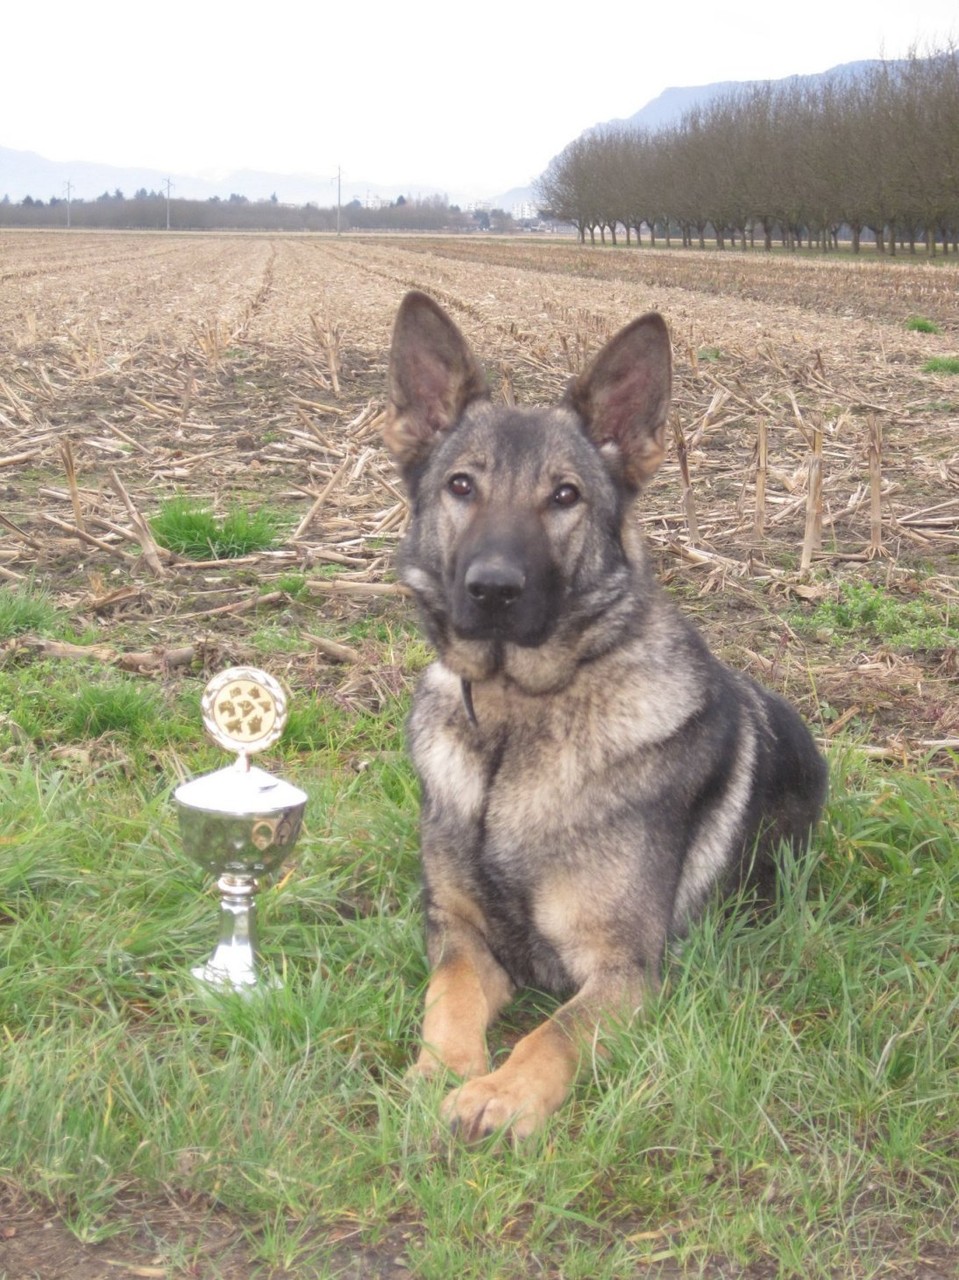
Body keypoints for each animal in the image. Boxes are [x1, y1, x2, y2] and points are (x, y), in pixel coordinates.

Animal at [381, 293, 824, 1141]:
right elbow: (446, 996)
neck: (514, 724)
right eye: (460, 486)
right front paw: (440, 1069)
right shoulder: (458, 933)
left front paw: (499, 1092)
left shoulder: (622, 968)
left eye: (564, 496)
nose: (492, 590)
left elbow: (553, 1033)